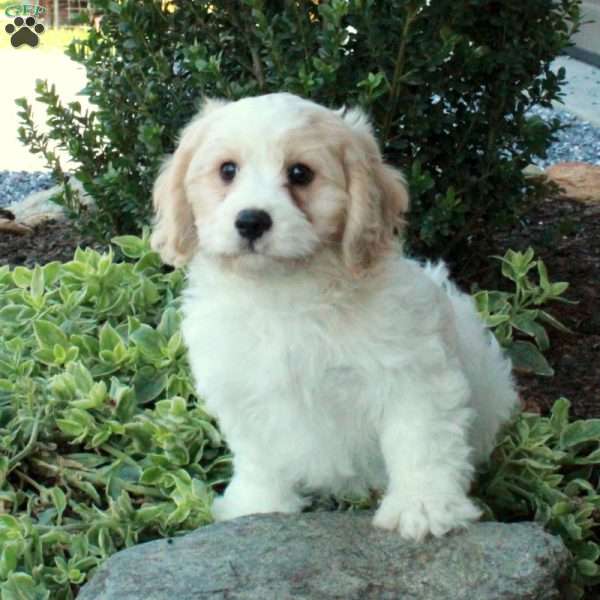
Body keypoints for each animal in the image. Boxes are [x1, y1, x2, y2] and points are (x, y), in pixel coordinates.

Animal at [151, 91, 520, 540]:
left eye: (300, 173)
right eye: (227, 170)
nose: (251, 220)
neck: (282, 292)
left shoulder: (412, 375)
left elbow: (420, 440)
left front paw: (424, 506)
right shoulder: (243, 387)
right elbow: (258, 454)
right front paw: (258, 504)